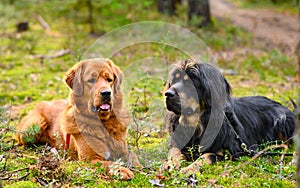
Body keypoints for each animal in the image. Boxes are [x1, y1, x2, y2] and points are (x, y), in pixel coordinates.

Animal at [163, 60, 294, 172]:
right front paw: (171, 164)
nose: (168, 94)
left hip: (282, 120)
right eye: (174, 80)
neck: (198, 121)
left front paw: (189, 169)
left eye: (191, 82)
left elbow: (207, 155)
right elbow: (174, 150)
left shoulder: (230, 151)